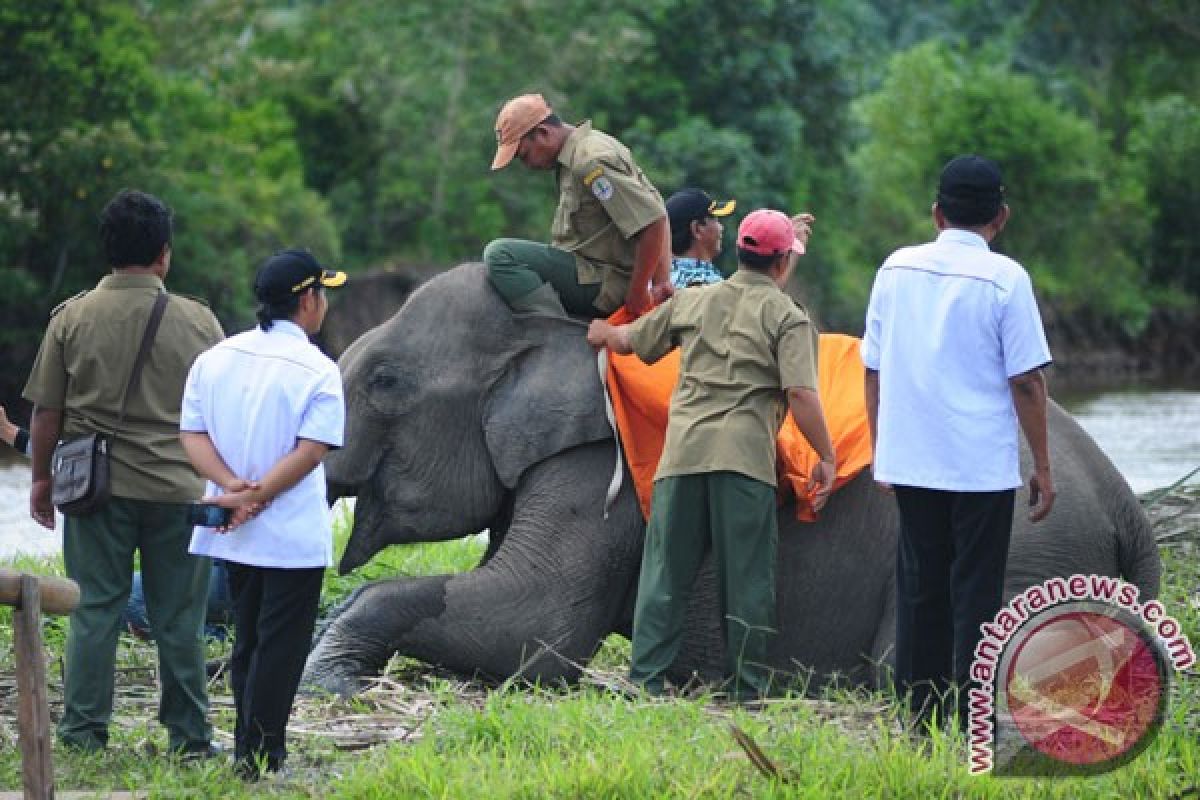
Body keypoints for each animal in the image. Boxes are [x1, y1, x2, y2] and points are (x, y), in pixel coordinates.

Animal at [300, 262, 1161, 695]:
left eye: (384, 381)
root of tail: (1129, 505)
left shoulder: (601, 466)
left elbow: (536, 625)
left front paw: (326, 677)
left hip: (1029, 542)